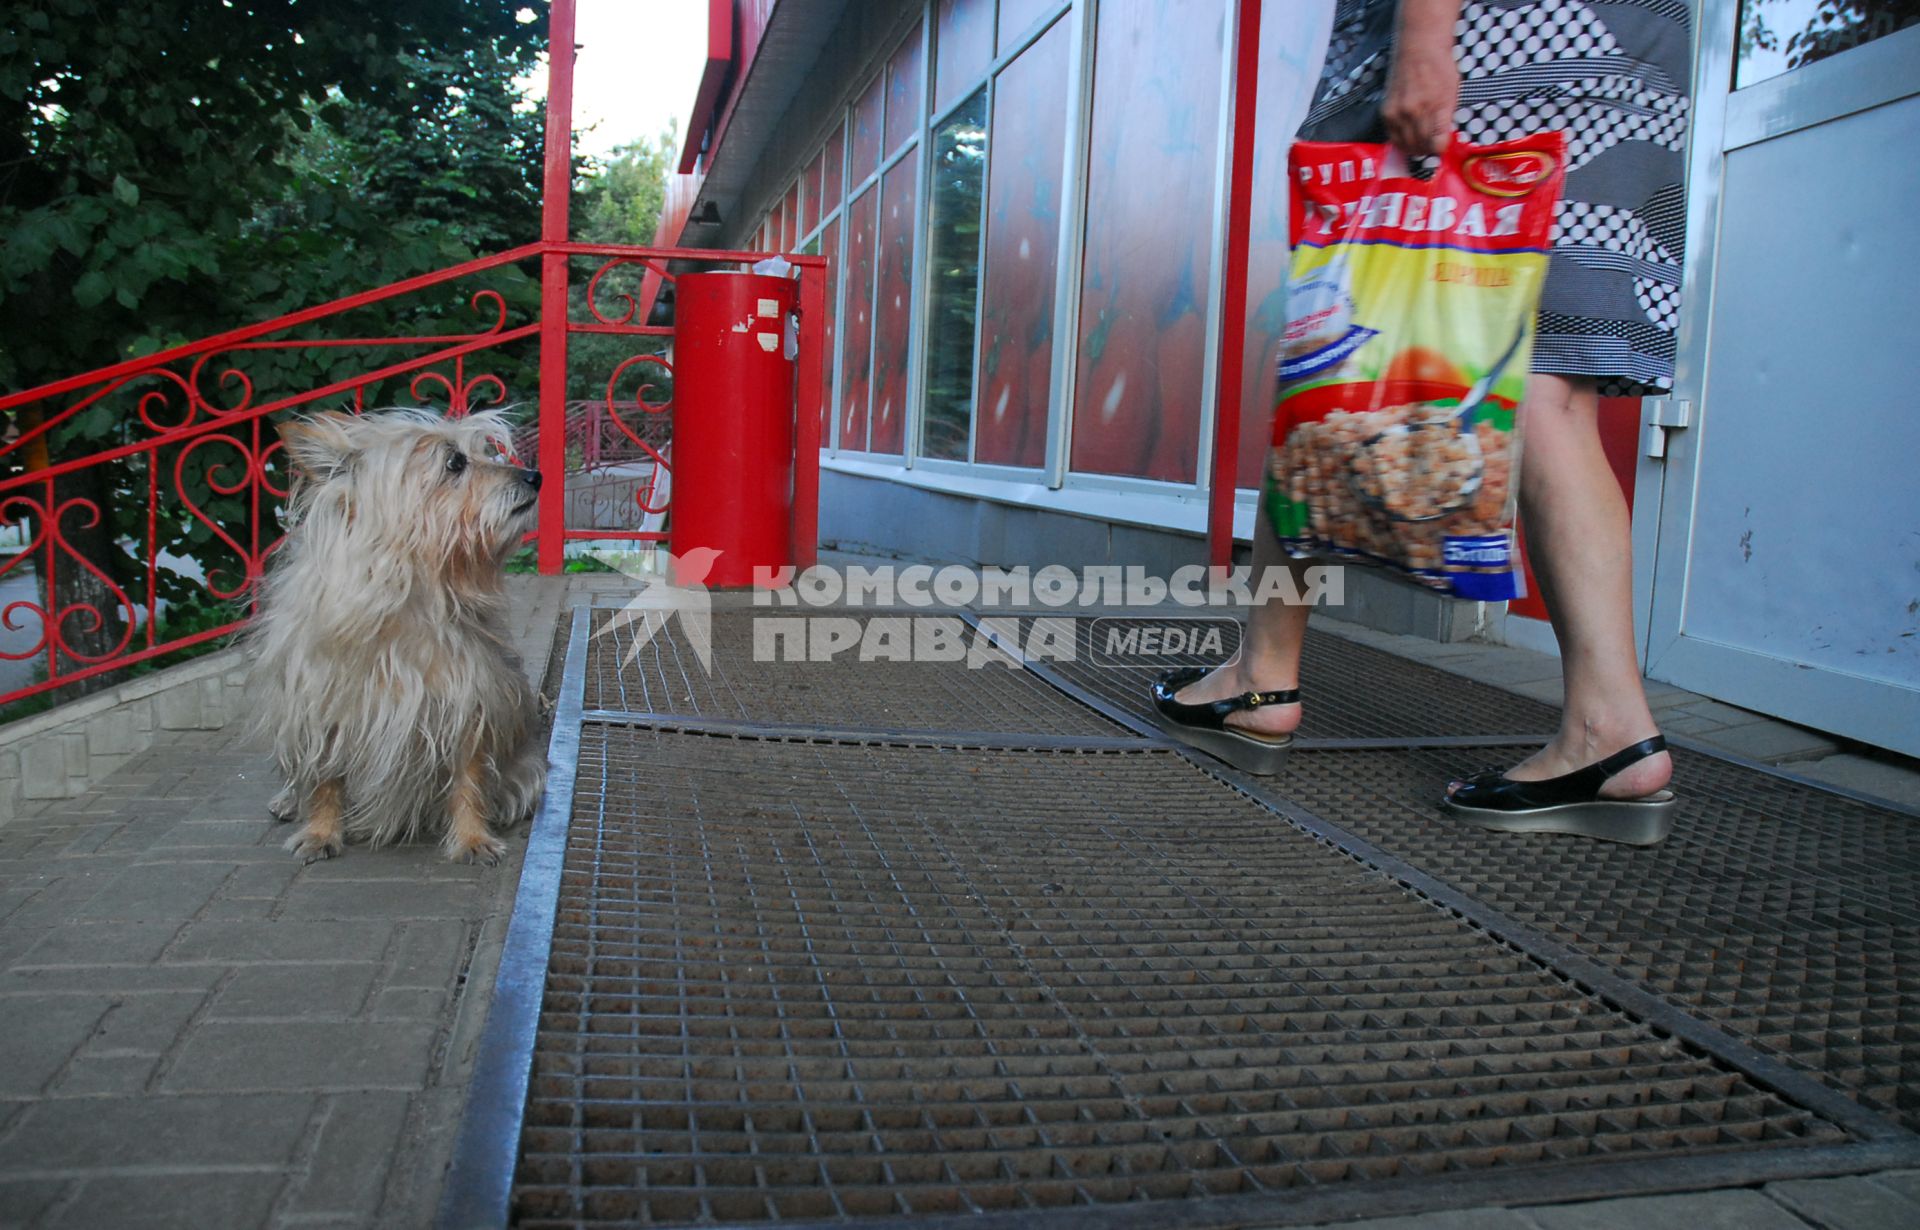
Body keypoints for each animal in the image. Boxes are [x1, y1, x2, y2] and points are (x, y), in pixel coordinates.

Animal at [249, 406, 549, 859]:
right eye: (455, 462)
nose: (534, 475)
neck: (407, 594)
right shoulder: (321, 701)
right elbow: (324, 777)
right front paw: (321, 831)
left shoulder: (470, 696)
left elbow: (469, 777)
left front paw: (472, 837)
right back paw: (289, 799)